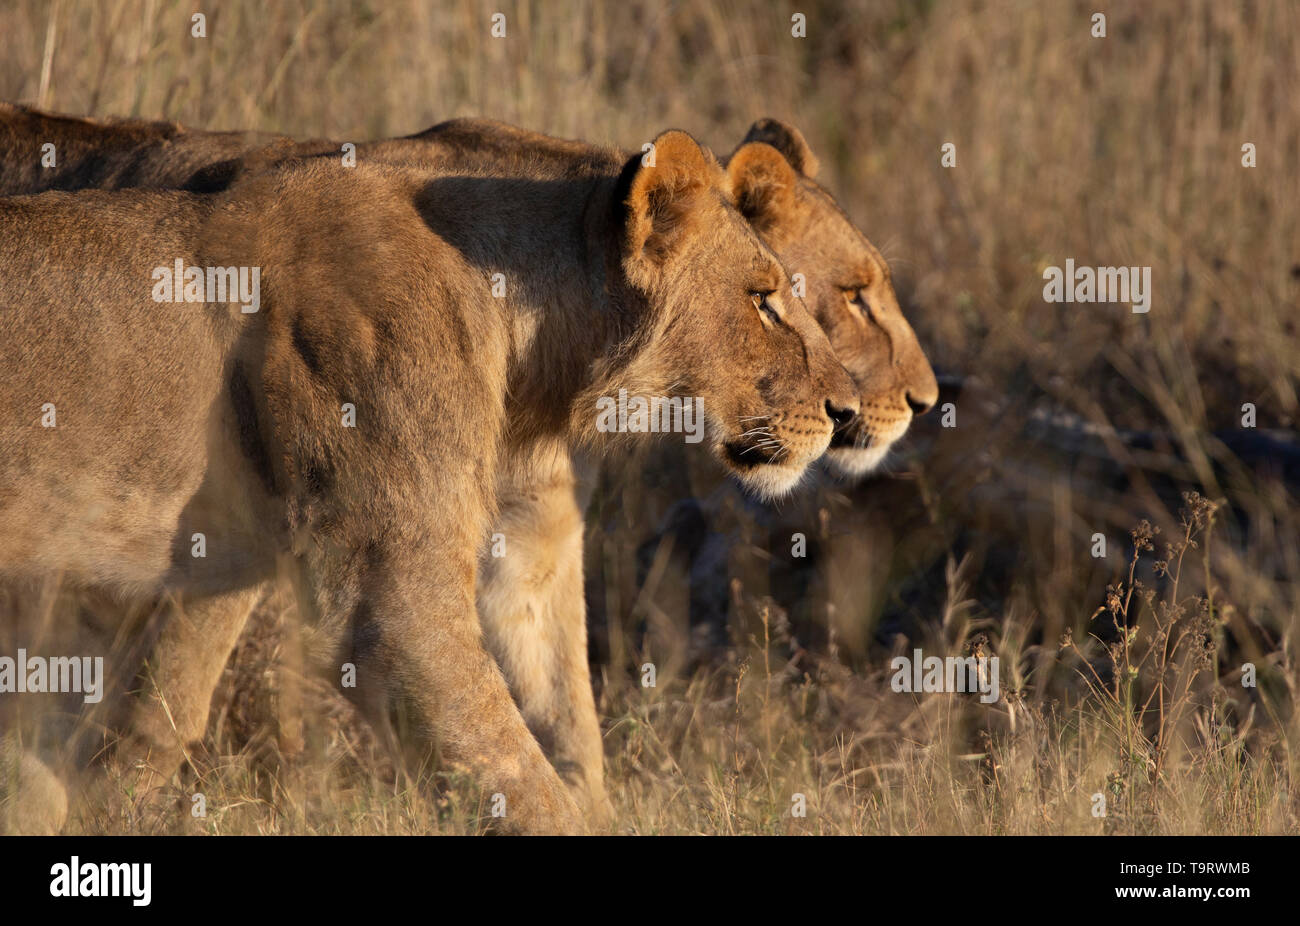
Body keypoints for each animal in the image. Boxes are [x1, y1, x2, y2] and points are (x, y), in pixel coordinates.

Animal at [0, 130, 858, 834]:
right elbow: (513, 771)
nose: (844, 409)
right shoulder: (386, 596)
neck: (532, 343)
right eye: (762, 300)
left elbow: (561, 711)